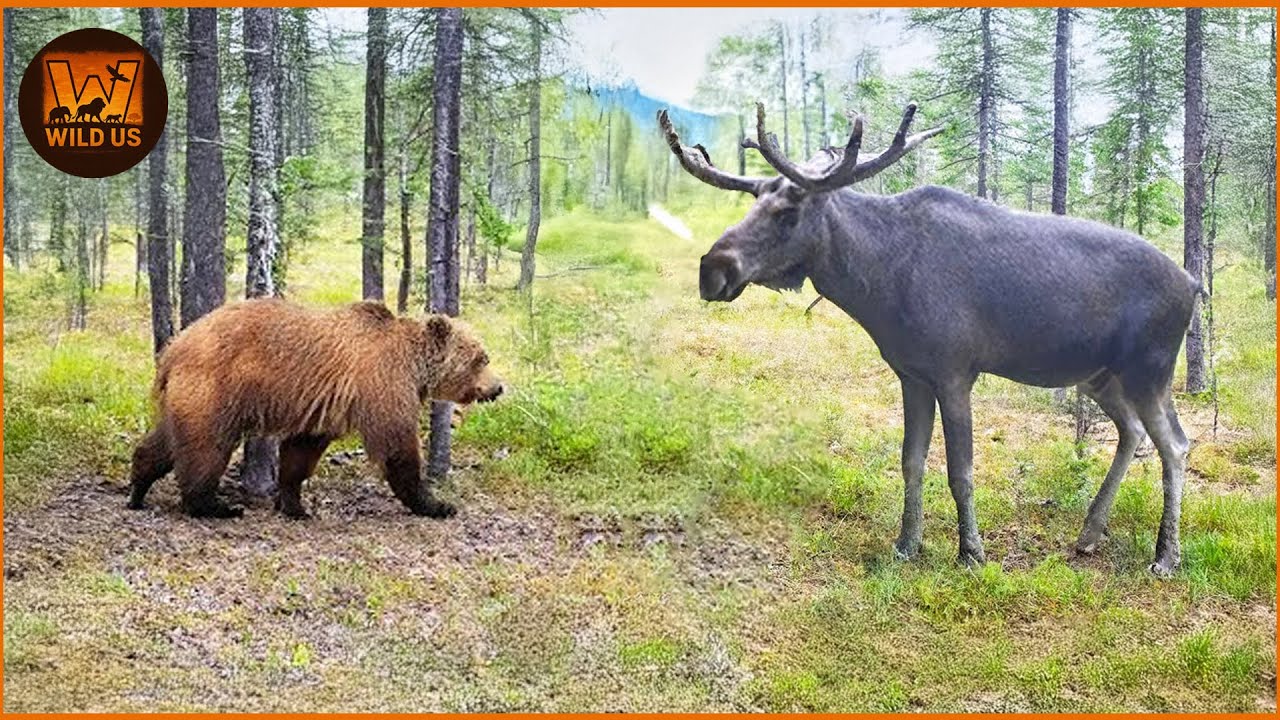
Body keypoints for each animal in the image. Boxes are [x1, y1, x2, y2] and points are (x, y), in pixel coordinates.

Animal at [127, 299, 504, 519]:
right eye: (481, 358)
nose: (498, 387)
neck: (415, 366)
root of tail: (174, 347)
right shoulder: (384, 384)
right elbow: (397, 447)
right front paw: (437, 504)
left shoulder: (324, 407)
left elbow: (301, 451)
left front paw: (294, 505)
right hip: (216, 389)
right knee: (206, 447)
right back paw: (215, 506)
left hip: (188, 397)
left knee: (168, 442)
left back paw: (138, 488)